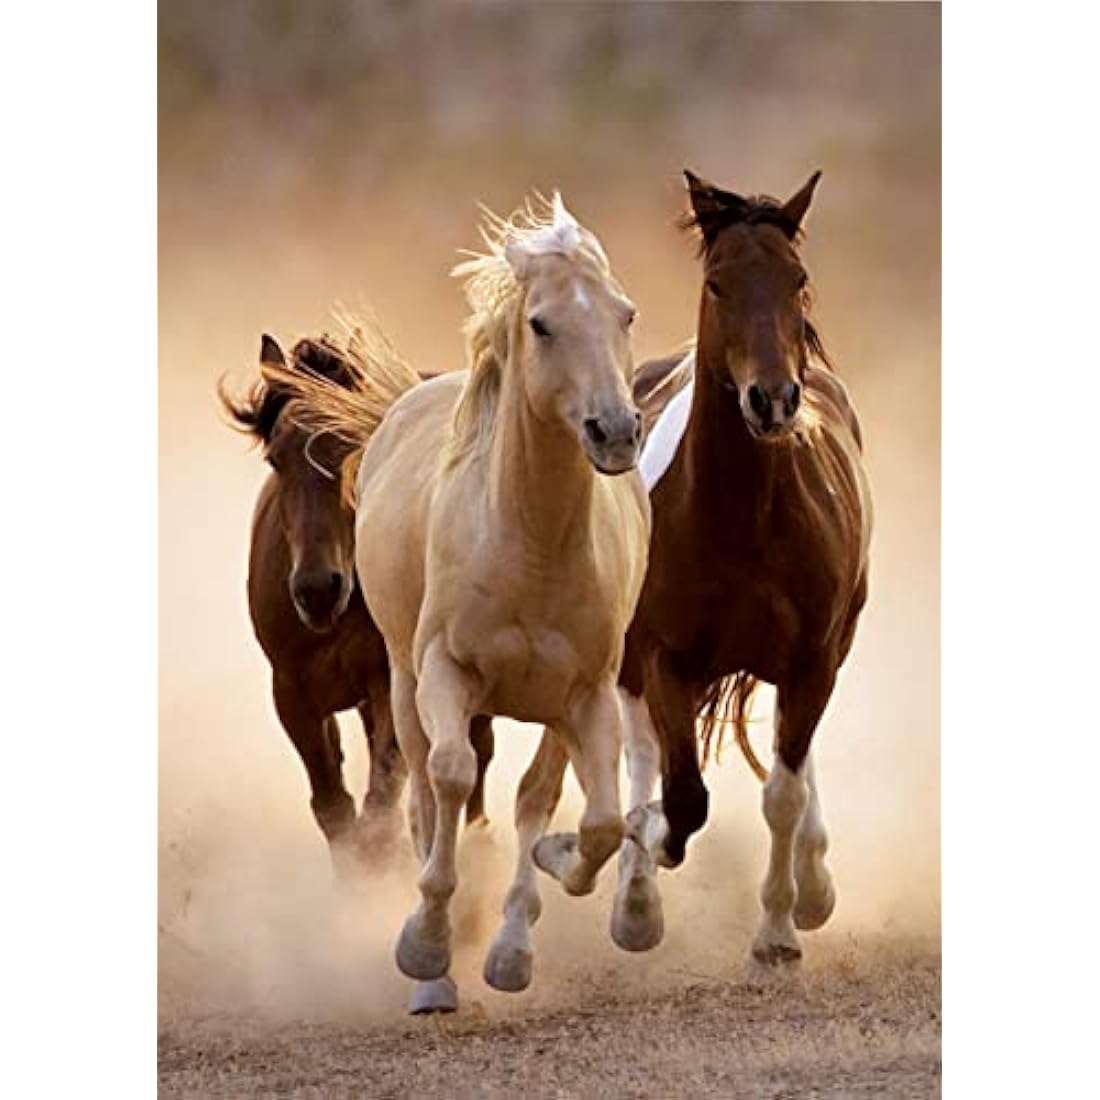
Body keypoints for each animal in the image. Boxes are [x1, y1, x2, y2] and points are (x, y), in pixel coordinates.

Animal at [219, 333, 495, 887]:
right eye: (276, 459)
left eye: (352, 446)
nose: (317, 590)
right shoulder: (293, 694)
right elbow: (335, 808)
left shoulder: (387, 683)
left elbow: (380, 806)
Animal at [265, 194, 650, 1011]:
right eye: (541, 323)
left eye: (624, 314)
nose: (615, 430)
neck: (531, 544)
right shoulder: (444, 673)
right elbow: (445, 779)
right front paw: (426, 944)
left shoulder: (587, 694)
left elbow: (592, 821)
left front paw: (538, 899)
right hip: (402, 684)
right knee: (420, 792)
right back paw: (436, 970)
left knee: (534, 794)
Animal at [529, 170, 872, 966]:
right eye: (717, 283)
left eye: (797, 279)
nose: (773, 400)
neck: (745, 520)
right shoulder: (663, 659)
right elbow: (681, 796)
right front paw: (631, 864)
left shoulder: (814, 659)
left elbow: (781, 790)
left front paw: (780, 927)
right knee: (643, 754)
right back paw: (632, 897)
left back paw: (810, 884)